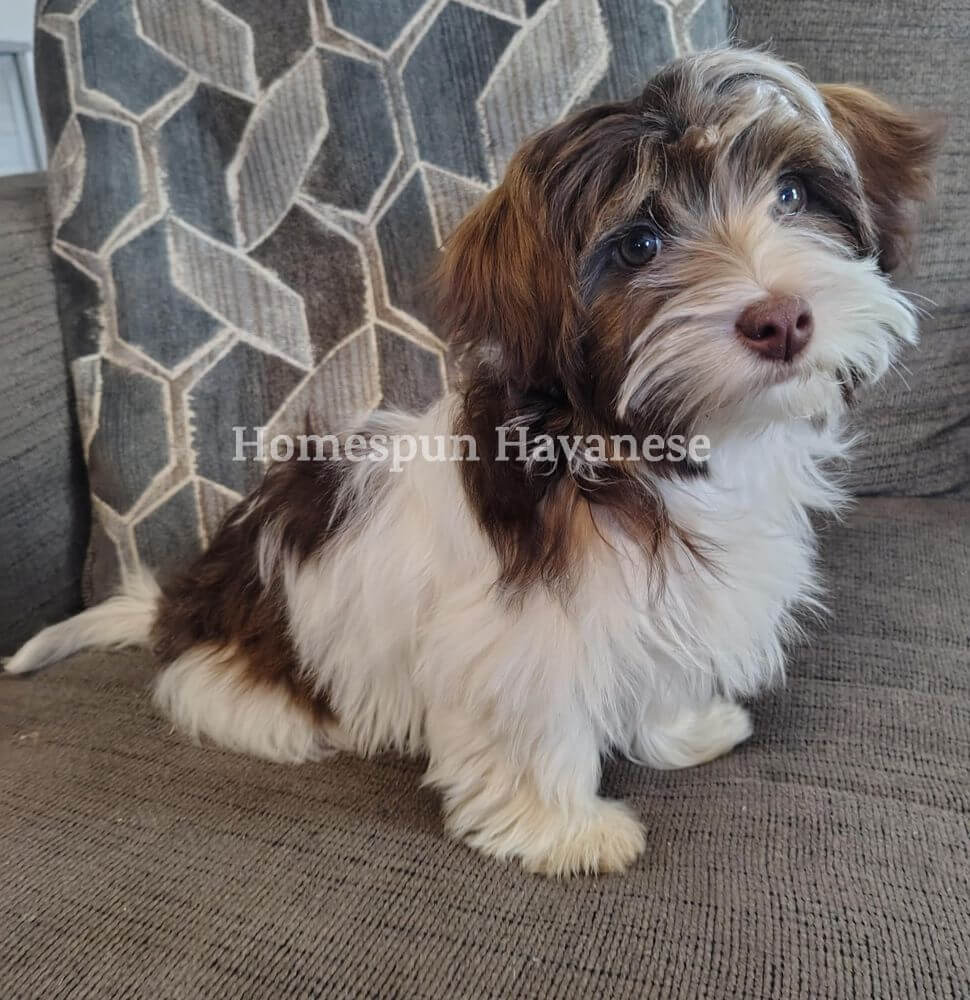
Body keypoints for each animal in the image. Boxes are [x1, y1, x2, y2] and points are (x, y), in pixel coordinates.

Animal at [6, 49, 941, 877]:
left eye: (793, 194)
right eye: (640, 244)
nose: (780, 318)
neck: (640, 445)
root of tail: (181, 598)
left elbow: (658, 663)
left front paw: (682, 729)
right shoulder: (520, 636)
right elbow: (536, 721)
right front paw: (566, 831)